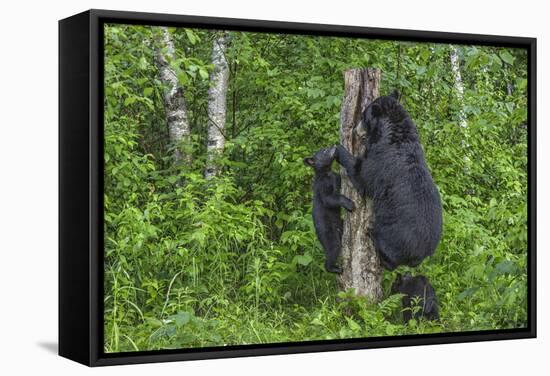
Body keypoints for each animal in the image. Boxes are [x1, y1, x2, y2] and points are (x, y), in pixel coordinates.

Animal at [336, 92, 444, 270]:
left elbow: (362, 175)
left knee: (389, 255)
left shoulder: (380, 161)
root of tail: (422, 255)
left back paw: (372, 234)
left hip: (394, 235)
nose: (355, 130)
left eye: (363, 117)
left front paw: (336, 149)